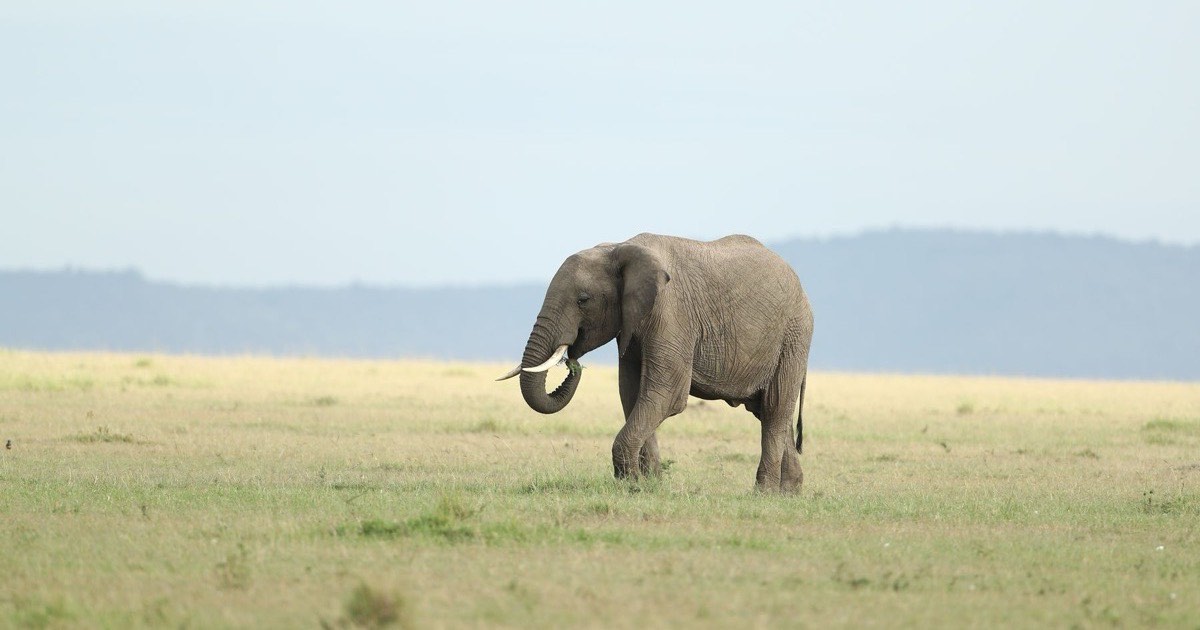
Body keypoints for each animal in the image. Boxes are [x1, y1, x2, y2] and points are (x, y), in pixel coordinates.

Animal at [498, 233, 814, 492]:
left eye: (583, 300)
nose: (571, 359)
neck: (618, 248)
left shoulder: (672, 314)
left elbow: (666, 394)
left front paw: (631, 485)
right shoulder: (631, 325)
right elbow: (632, 394)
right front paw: (649, 485)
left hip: (793, 337)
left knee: (774, 408)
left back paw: (764, 493)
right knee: (768, 412)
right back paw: (790, 493)